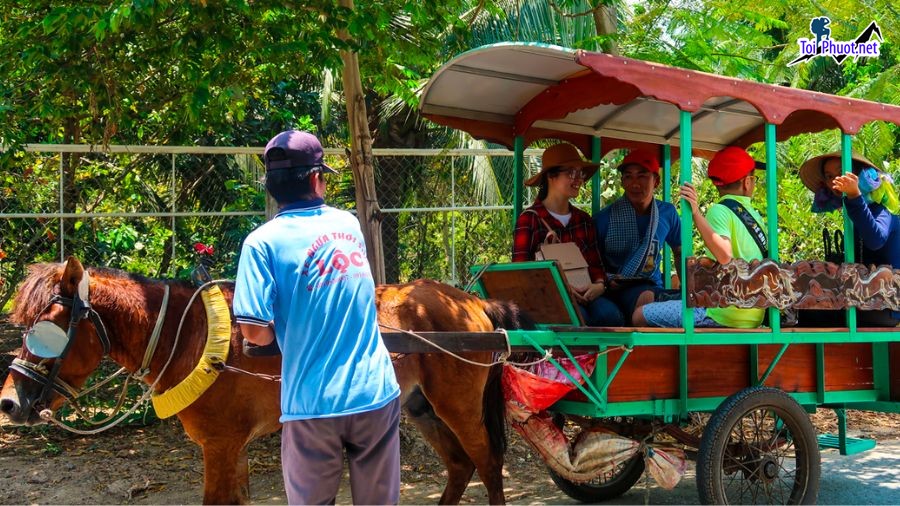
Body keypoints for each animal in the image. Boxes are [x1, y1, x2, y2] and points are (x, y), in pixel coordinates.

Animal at [0, 258, 528, 504]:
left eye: (46, 330)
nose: (9, 402)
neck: (190, 335)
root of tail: (471, 302)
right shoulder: (231, 447)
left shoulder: (220, 444)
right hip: (421, 407)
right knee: (460, 466)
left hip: (458, 405)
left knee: (487, 462)